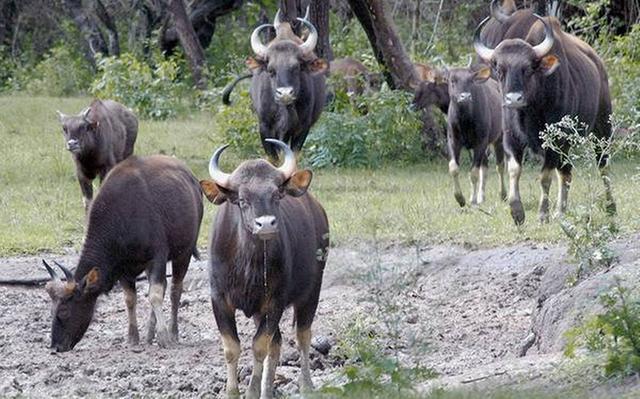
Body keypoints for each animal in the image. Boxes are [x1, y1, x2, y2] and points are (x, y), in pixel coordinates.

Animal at [43, 156, 202, 354]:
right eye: (52, 310)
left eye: (64, 310)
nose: (56, 347)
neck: (121, 219)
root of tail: (193, 179)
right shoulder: (121, 267)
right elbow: (130, 299)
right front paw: (133, 337)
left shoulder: (157, 257)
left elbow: (155, 295)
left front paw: (164, 337)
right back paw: (150, 334)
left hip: (184, 253)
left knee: (175, 290)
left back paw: (173, 332)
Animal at [200, 139, 330, 398]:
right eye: (242, 199)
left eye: (277, 194)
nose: (266, 224)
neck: (247, 266)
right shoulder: (219, 299)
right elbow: (232, 348)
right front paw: (232, 392)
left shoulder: (274, 303)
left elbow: (259, 346)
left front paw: (251, 391)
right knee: (277, 343)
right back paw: (268, 390)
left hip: (311, 292)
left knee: (302, 336)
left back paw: (306, 385)